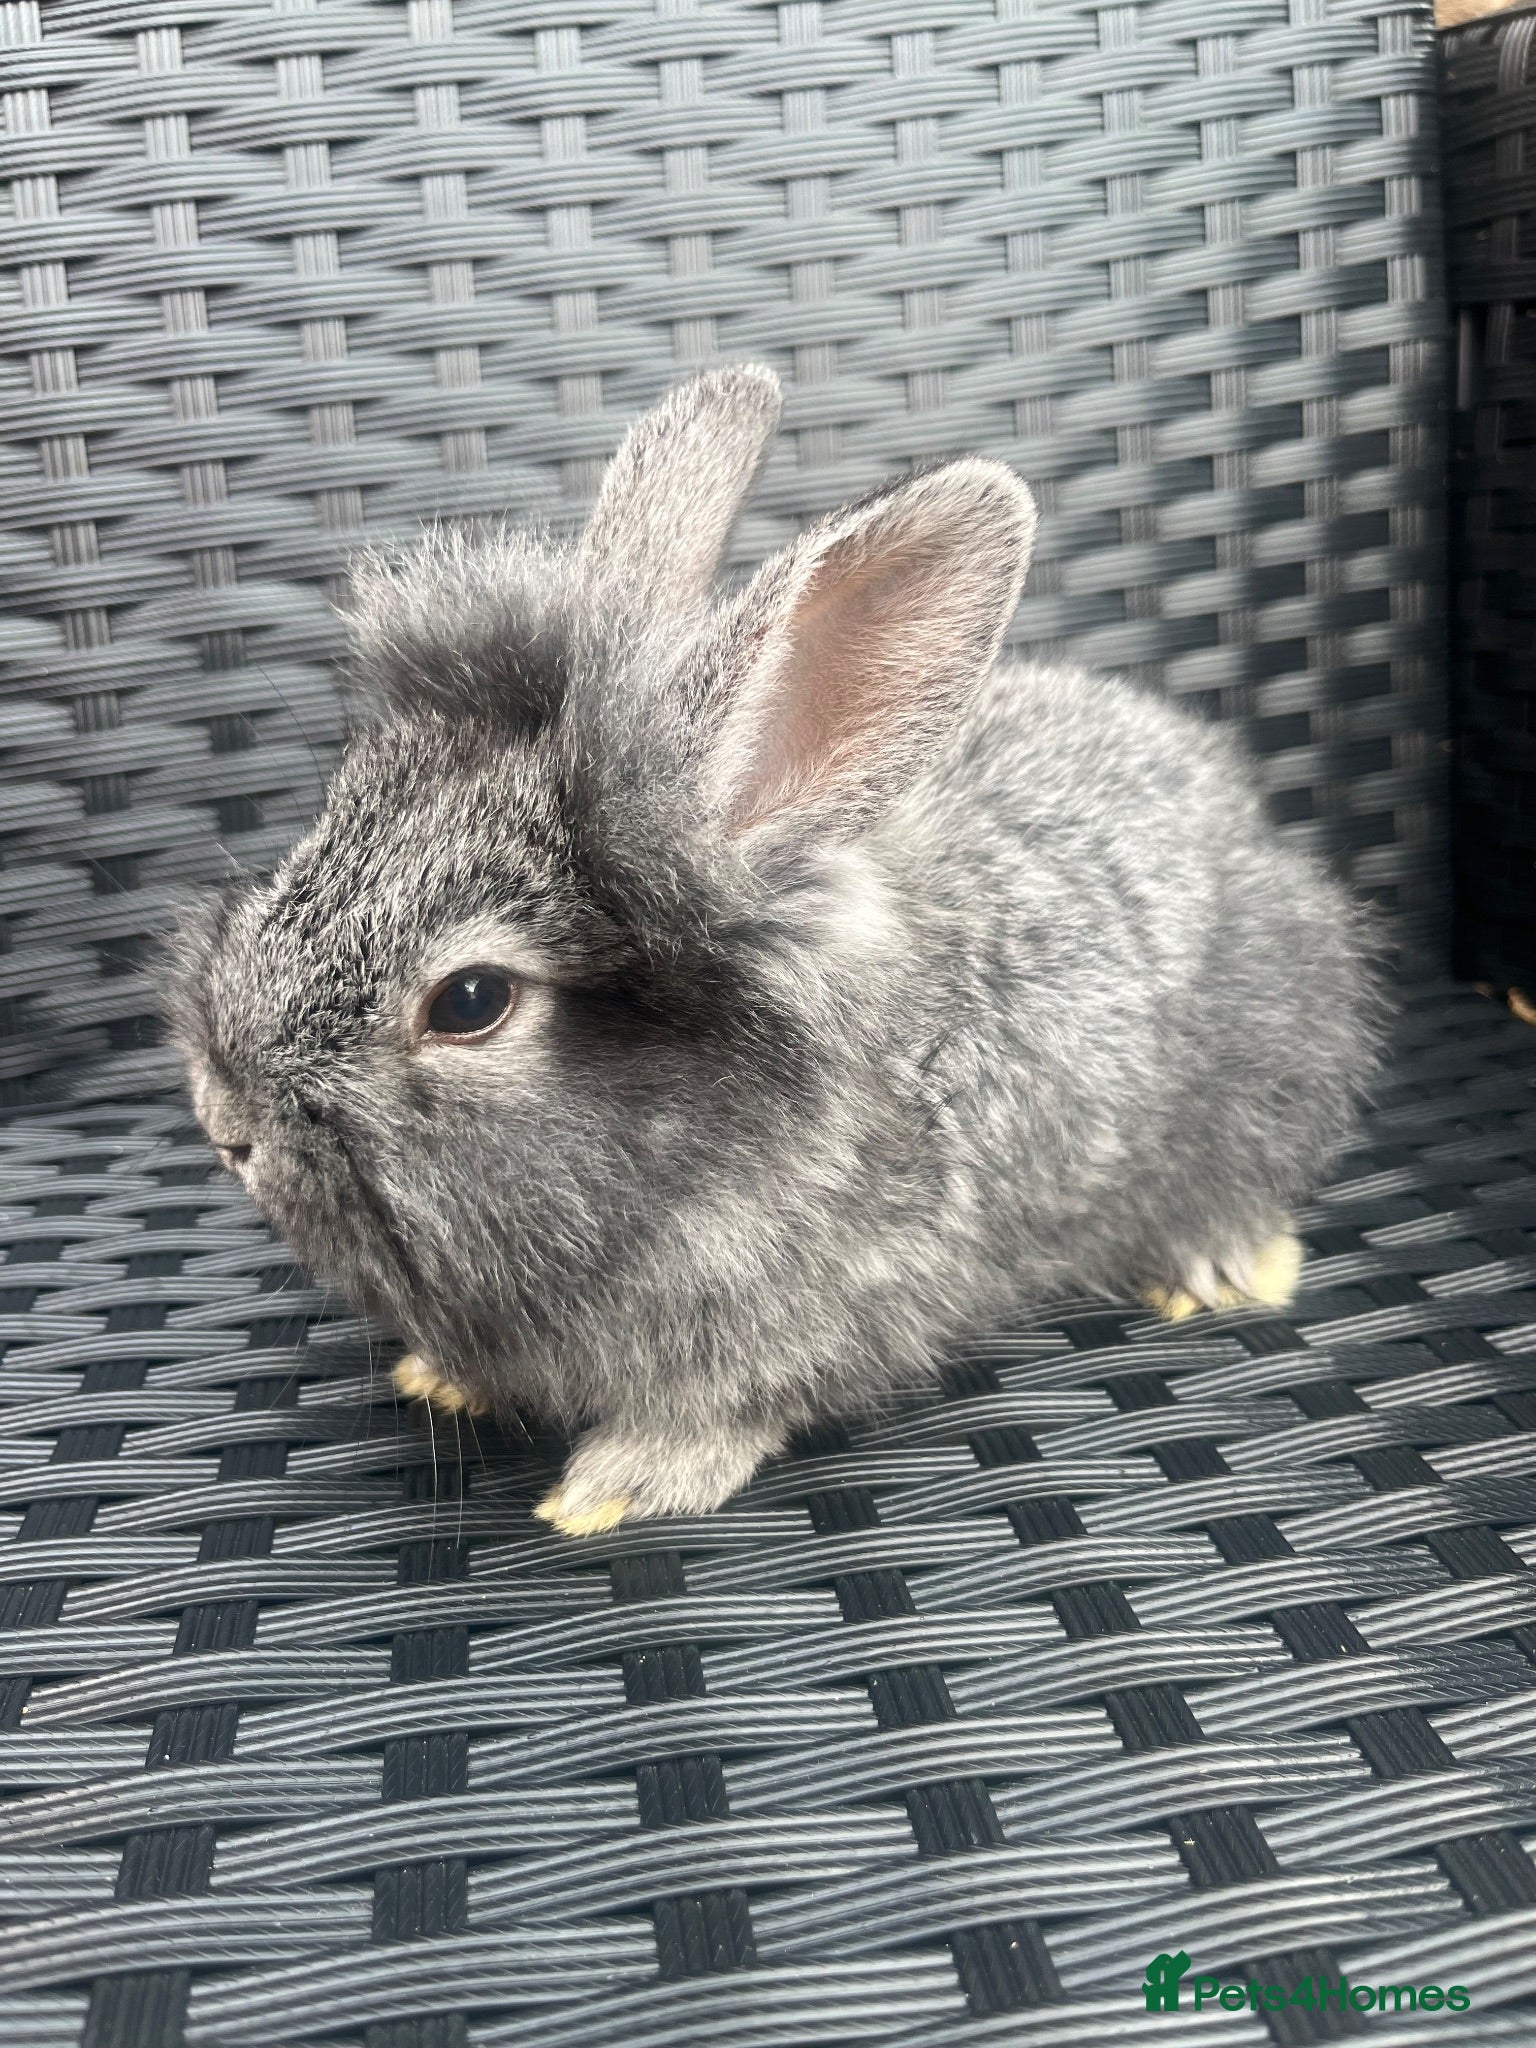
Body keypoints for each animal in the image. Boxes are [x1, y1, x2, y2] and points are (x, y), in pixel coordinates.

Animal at [169, 364, 1379, 1536]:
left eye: (470, 1000)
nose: (225, 1124)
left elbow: (723, 1411)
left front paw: (611, 1490)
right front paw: (442, 1376)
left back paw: (1229, 1267)